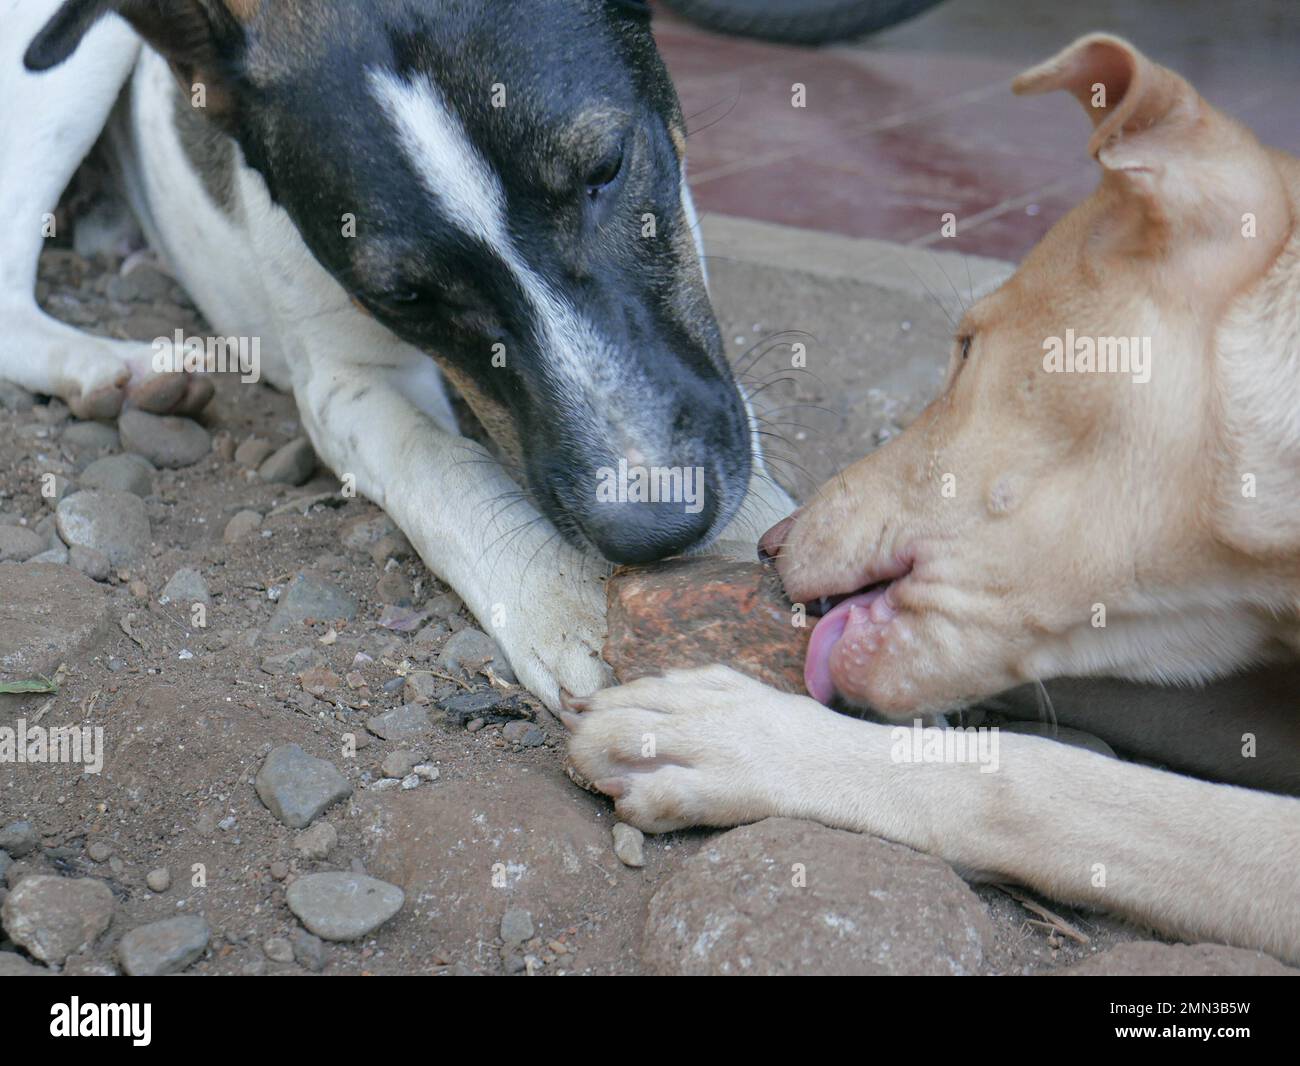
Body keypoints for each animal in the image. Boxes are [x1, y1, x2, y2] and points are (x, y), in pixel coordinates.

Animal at [0, 0, 785, 707]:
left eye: (608, 166)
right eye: (402, 294)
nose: (655, 530)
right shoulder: (343, 381)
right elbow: (442, 467)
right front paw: (563, 604)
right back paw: (120, 371)